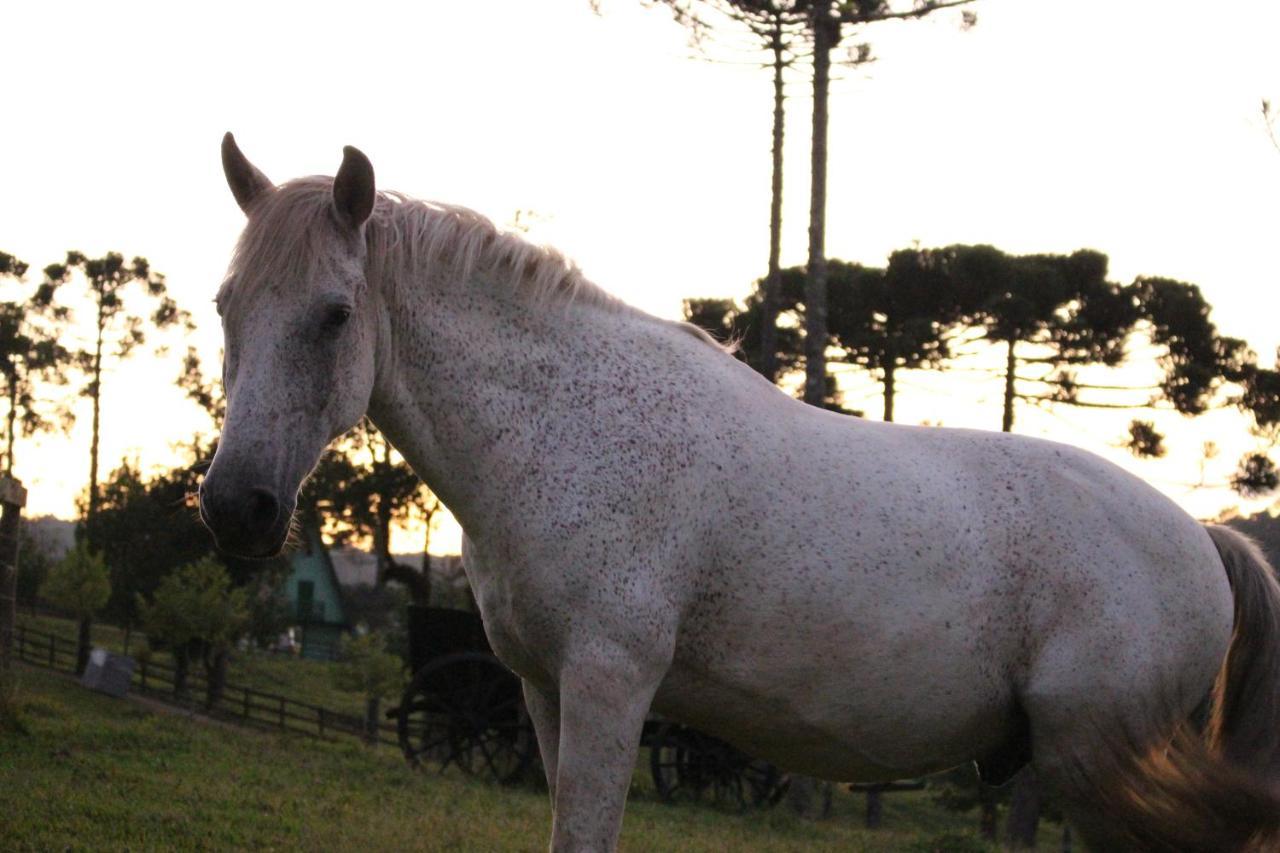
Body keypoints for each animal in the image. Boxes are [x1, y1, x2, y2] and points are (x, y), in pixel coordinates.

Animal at [202, 136, 1280, 845]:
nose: (234, 506)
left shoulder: (610, 682)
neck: (565, 430)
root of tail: (1205, 538)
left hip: (1101, 773)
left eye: (334, 315)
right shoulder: (543, 690)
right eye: (225, 305)